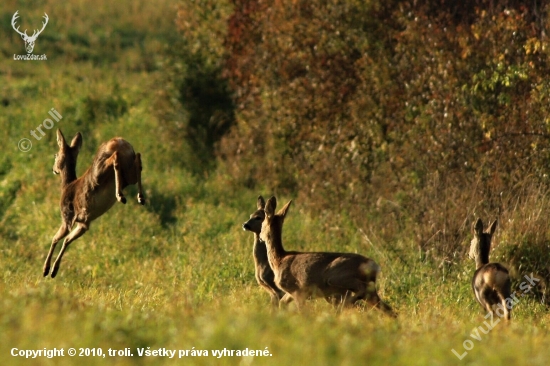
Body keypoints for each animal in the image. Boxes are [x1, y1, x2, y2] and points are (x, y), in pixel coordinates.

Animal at [43, 130, 146, 276]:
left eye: (55, 155)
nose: (53, 169)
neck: (67, 186)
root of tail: (119, 141)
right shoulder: (84, 223)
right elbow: (67, 241)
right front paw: (53, 271)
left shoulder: (67, 217)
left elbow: (55, 239)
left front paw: (46, 270)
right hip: (128, 172)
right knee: (138, 159)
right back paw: (140, 197)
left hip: (100, 171)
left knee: (115, 159)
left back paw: (120, 195)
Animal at [260, 196, 394, 316]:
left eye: (262, 225)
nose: (260, 237)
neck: (279, 259)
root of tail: (373, 265)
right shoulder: (291, 293)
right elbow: (282, 303)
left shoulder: (298, 290)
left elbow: (301, 311)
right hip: (365, 289)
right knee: (388, 309)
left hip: (336, 276)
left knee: (362, 289)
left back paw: (345, 305)